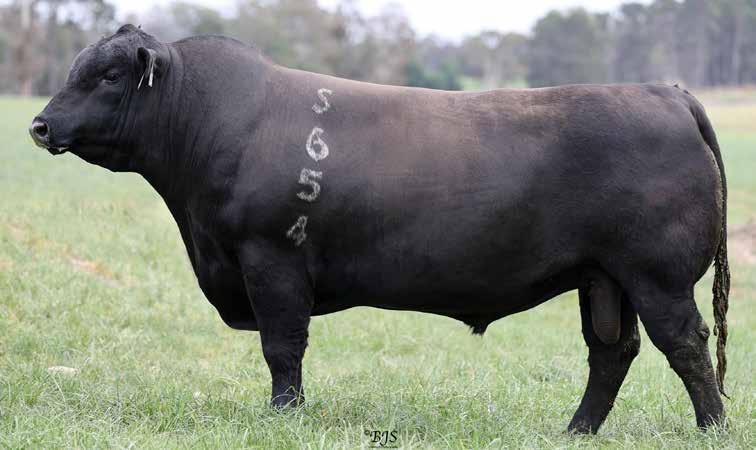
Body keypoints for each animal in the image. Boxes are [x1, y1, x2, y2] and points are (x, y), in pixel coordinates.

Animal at [29, 25, 730, 434]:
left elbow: (282, 348)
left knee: (686, 344)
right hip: (603, 277)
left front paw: (284, 417)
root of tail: (663, 91)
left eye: (109, 75)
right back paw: (574, 431)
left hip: (657, 276)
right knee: (612, 352)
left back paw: (712, 427)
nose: (38, 124)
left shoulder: (271, 258)